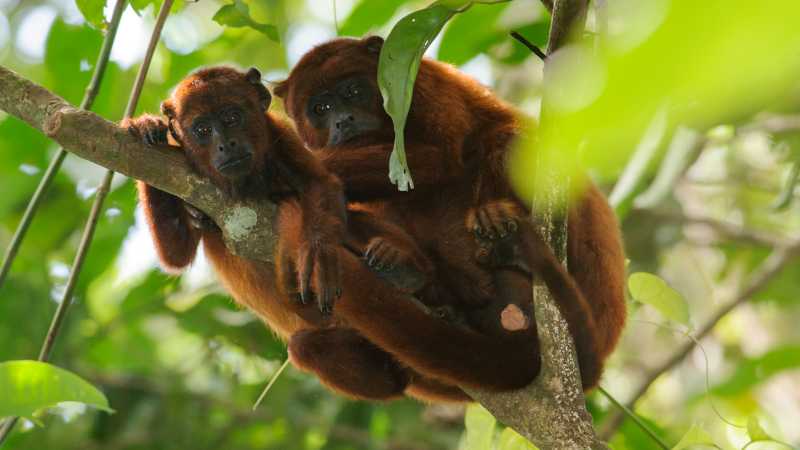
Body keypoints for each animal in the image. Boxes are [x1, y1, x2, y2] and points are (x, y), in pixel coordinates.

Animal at [274, 36, 627, 393]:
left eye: (353, 91)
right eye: (320, 109)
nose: (342, 120)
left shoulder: (423, 85)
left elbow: (439, 156)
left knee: (509, 139)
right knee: (304, 345)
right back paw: (411, 271)